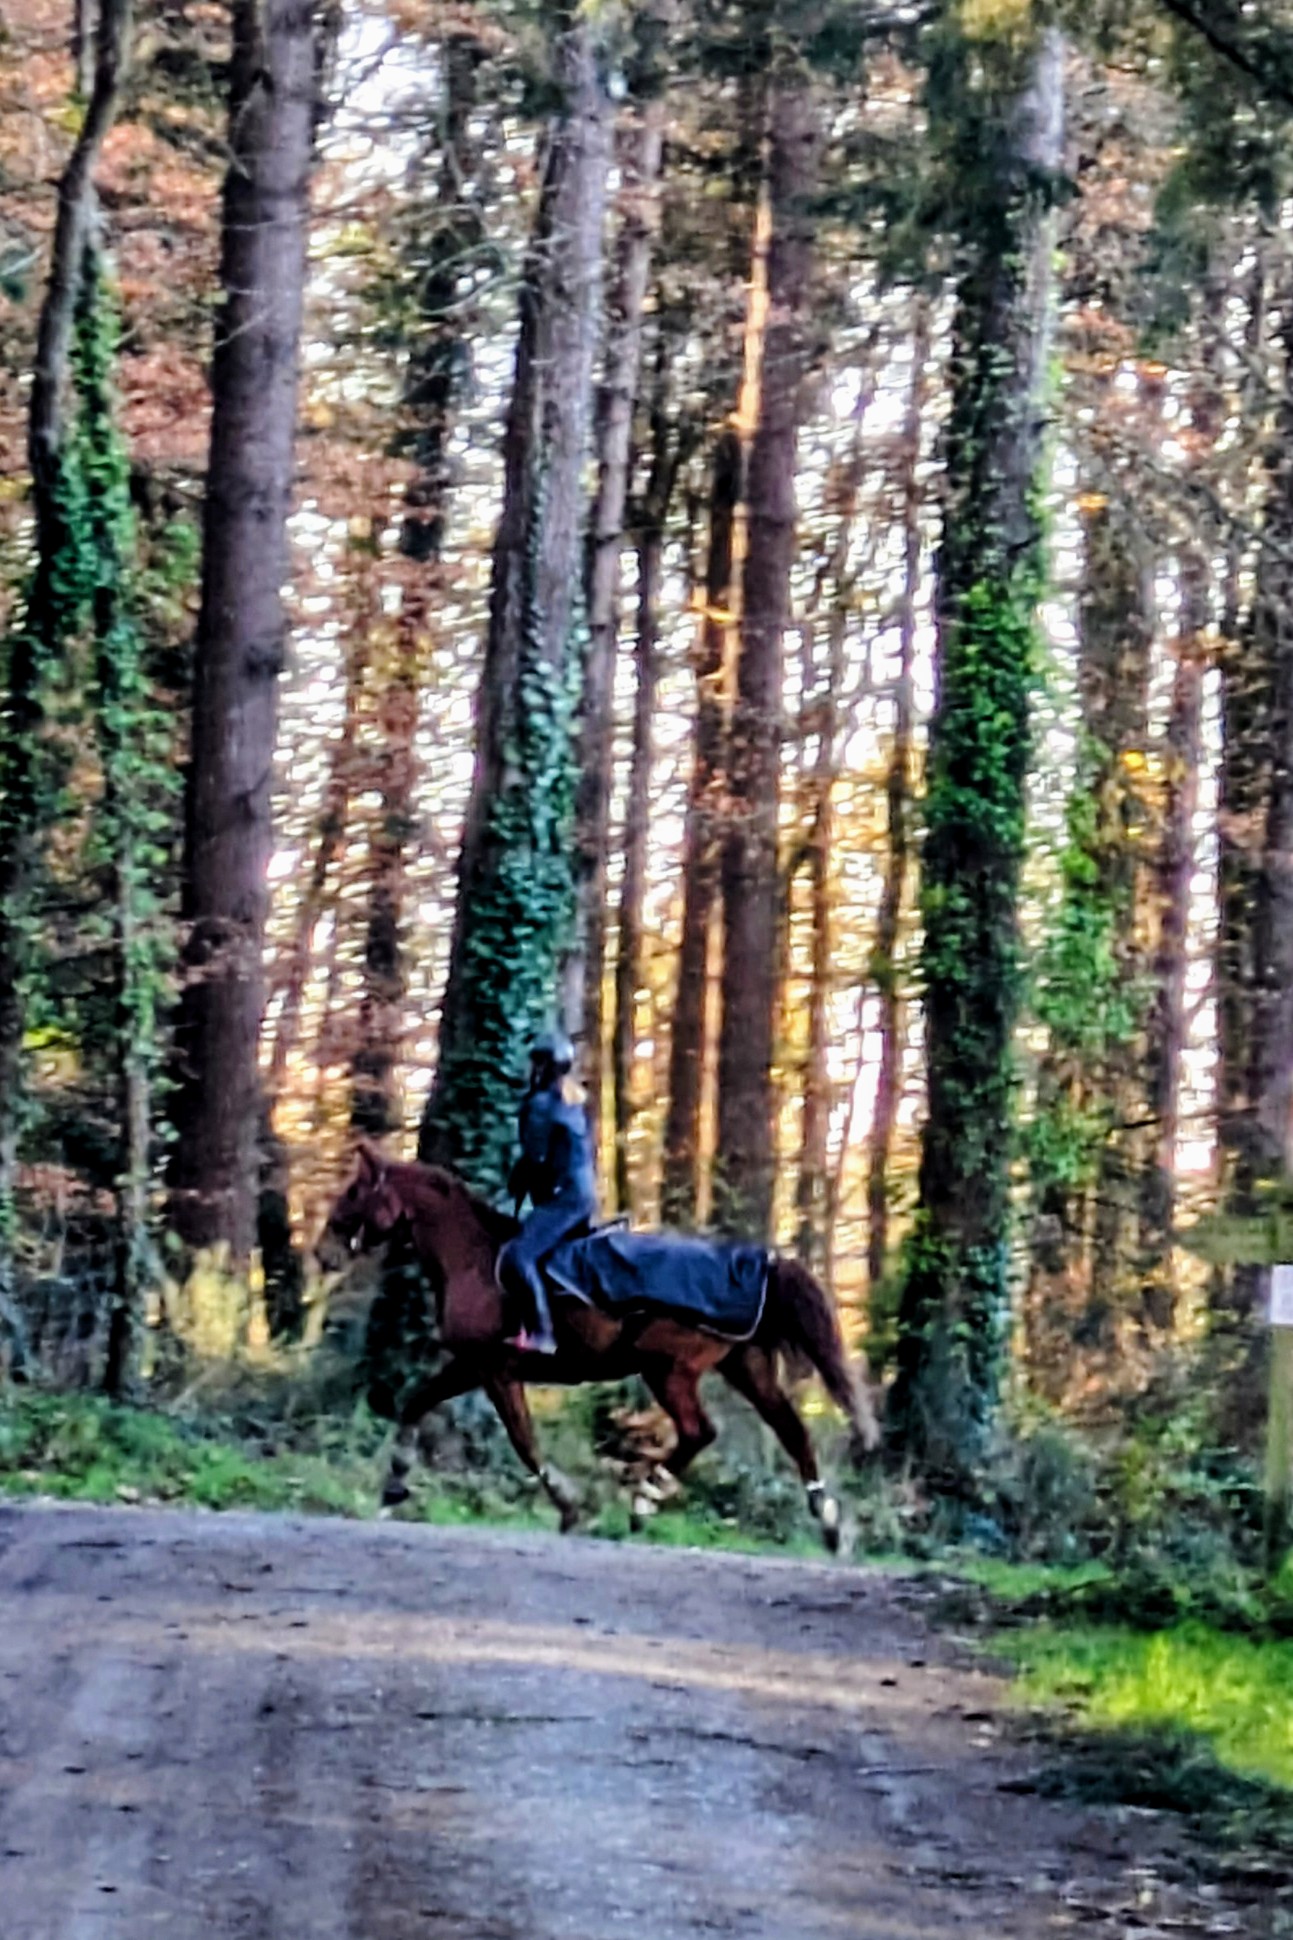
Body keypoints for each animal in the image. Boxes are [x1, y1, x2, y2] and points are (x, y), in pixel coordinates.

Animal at [316, 1142, 880, 1550]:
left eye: (353, 1193)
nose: (323, 1254)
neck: (474, 1258)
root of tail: (763, 1262)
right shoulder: (471, 1365)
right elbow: (416, 1402)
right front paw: (393, 1486)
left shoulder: (494, 1369)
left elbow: (523, 1441)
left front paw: (570, 1507)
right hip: (746, 1367)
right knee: (791, 1431)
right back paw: (829, 1522)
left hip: (668, 1369)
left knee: (700, 1432)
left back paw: (645, 1499)